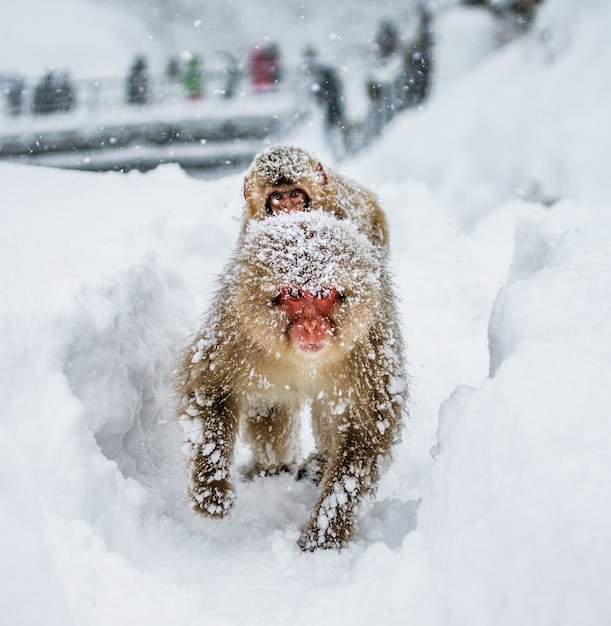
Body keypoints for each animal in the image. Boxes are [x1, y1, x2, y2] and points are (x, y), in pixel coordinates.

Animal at [177, 212, 406, 548]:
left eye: (323, 294)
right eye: (295, 294)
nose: (311, 326)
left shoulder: (370, 345)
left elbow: (365, 432)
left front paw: (325, 531)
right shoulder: (237, 328)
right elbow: (211, 390)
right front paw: (211, 485)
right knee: (270, 403)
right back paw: (271, 468)